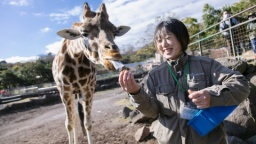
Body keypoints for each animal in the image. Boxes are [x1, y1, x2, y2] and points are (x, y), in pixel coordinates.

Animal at [52, 2, 131, 144]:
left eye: (115, 32)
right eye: (84, 33)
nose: (114, 53)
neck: (75, 56)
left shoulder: (88, 88)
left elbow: (88, 123)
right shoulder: (64, 90)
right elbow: (69, 124)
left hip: (77, 93)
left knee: (77, 118)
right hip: (69, 93)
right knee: (72, 119)